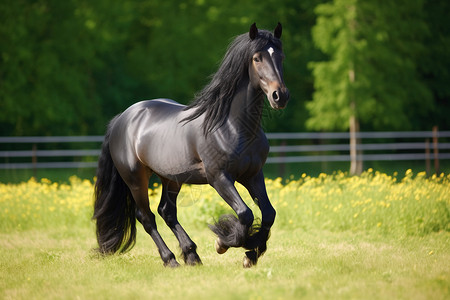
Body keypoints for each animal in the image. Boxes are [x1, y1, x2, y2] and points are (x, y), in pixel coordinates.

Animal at [93, 22, 290, 268]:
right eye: (257, 58)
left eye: (281, 56)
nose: (279, 96)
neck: (233, 126)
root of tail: (122, 118)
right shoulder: (219, 177)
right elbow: (245, 213)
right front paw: (224, 242)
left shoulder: (252, 175)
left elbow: (269, 214)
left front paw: (252, 253)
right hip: (136, 179)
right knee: (146, 217)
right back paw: (170, 260)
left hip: (171, 178)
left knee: (167, 212)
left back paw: (191, 255)